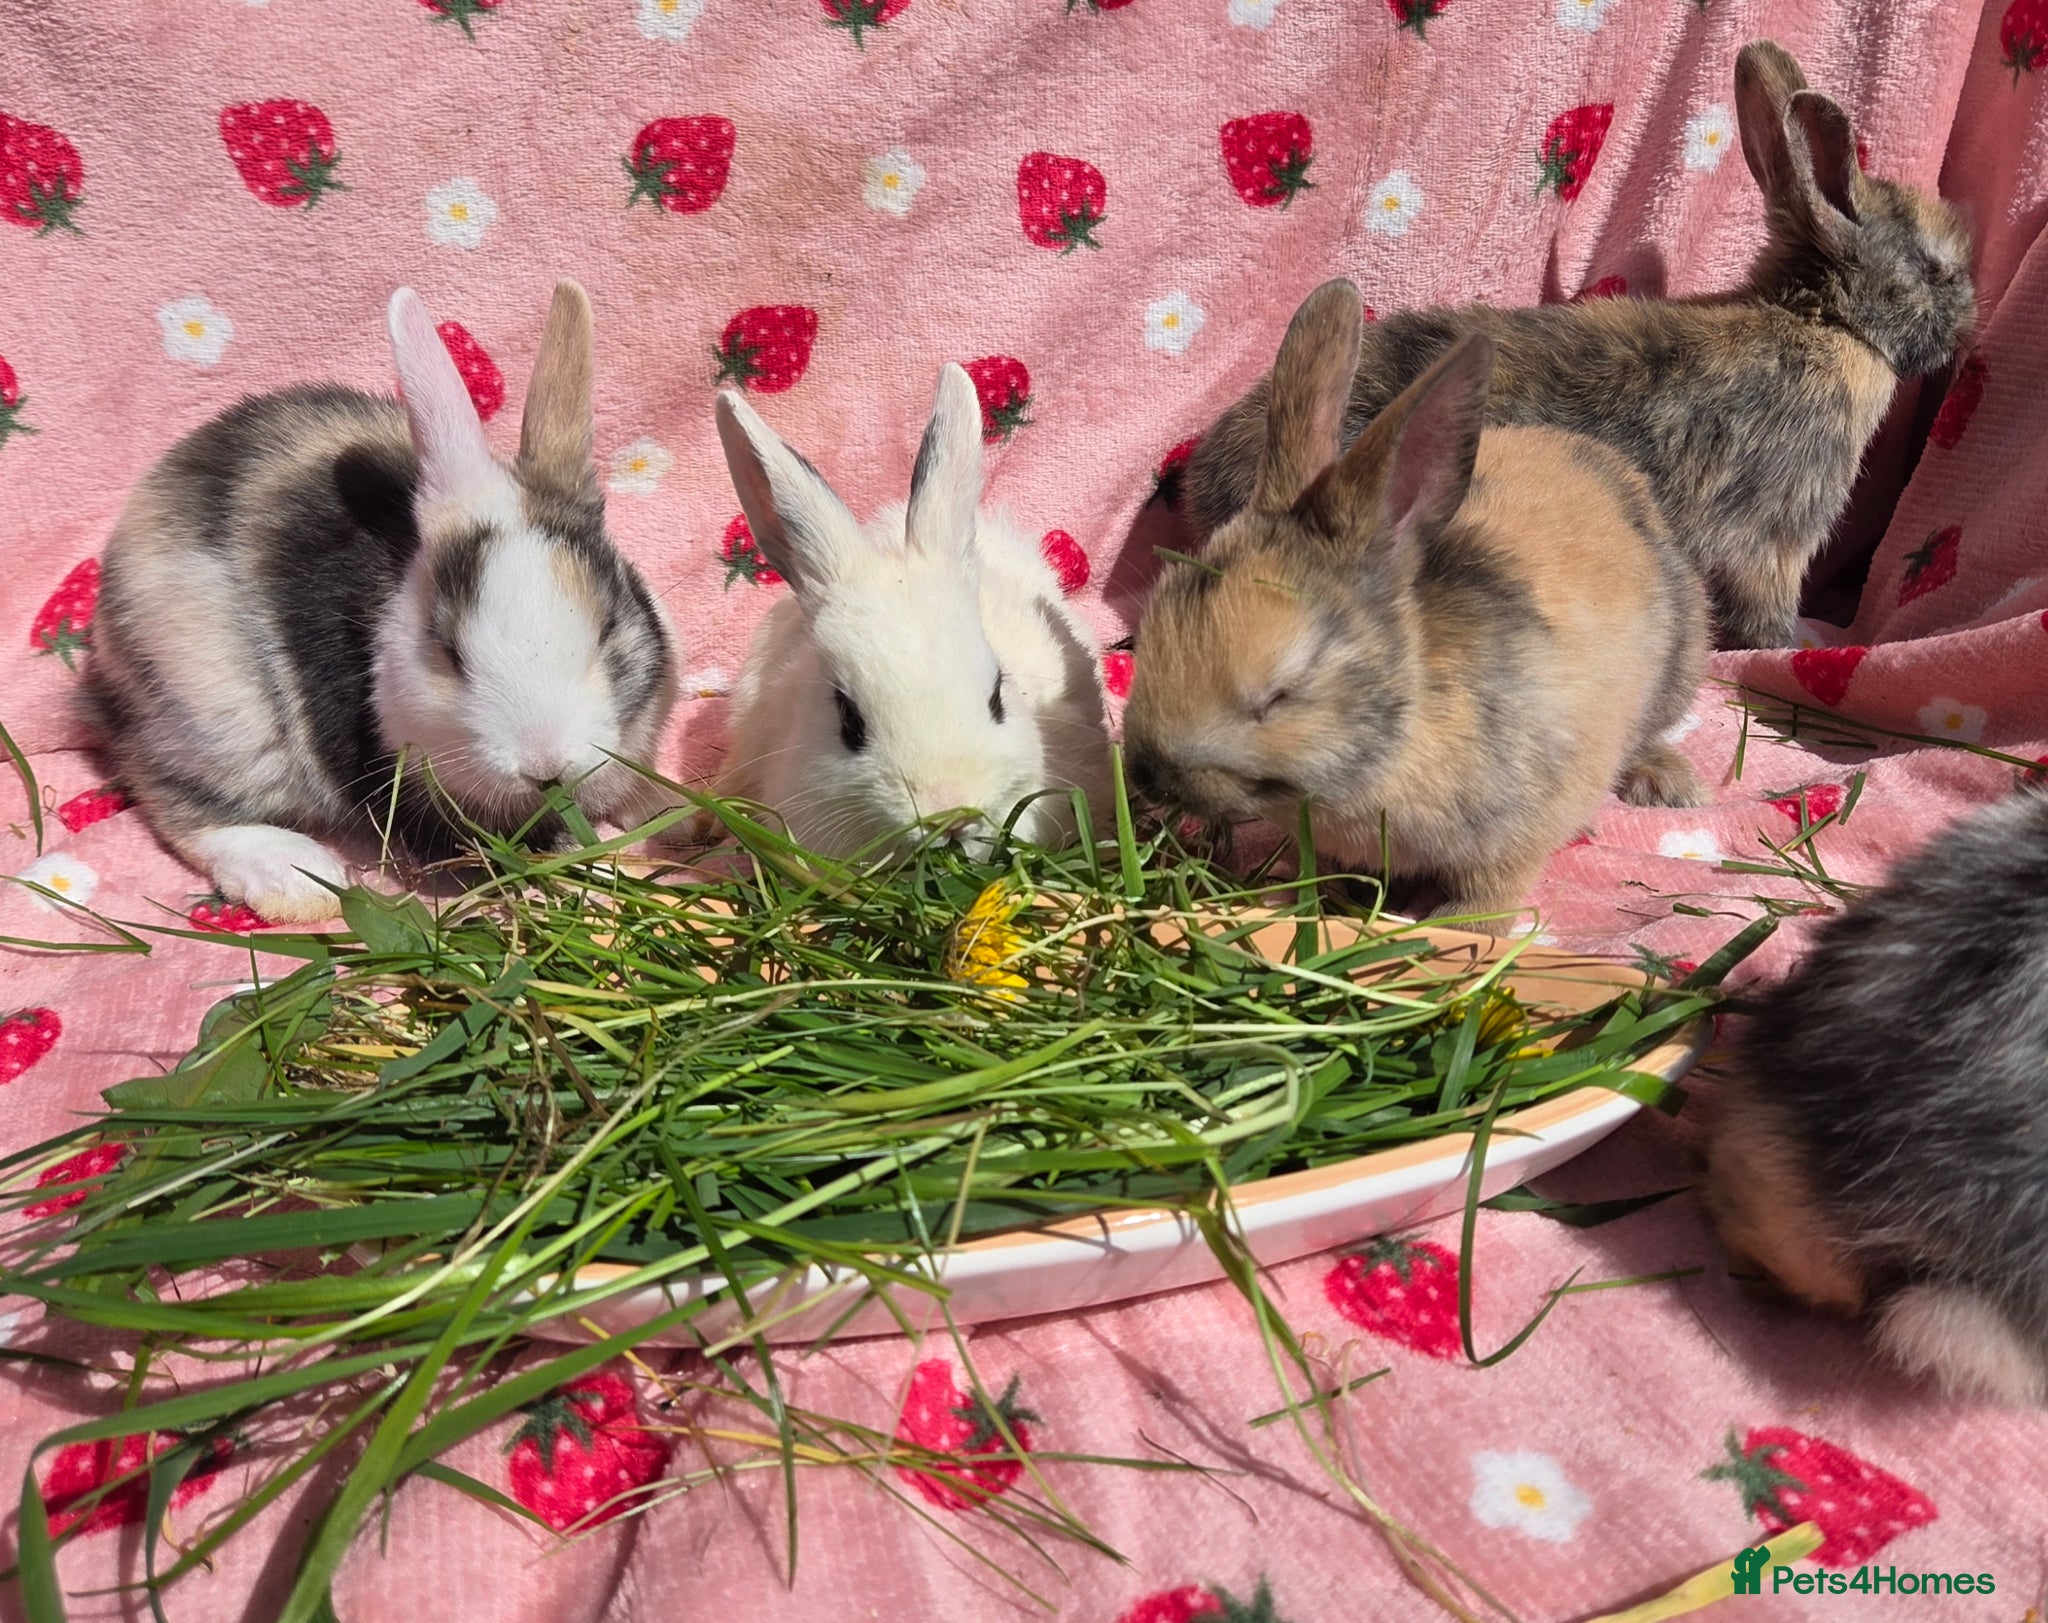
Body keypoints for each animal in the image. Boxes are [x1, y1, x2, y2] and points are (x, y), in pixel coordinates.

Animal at [83, 280, 683, 924]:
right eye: (446, 650)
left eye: (609, 626)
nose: (544, 764)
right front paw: (590, 874)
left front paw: (684, 815)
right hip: (214, 718)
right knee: (167, 793)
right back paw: (296, 877)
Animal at [1122, 279, 1709, 919]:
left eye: (1278, 694)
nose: (1146, 776)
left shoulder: (1517, 838)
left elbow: (1488, 898)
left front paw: (1455, 925)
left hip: (1676, 669)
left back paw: (1669, 782)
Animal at [1181, 39, 1976, 652]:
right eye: (1938, 269)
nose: (1969, 322)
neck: (1828, 321)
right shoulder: (1779, 536)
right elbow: (1764, 605)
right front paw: (1784, 648)